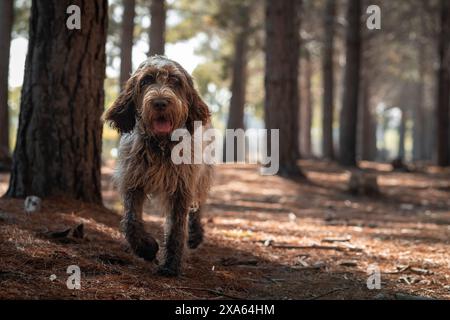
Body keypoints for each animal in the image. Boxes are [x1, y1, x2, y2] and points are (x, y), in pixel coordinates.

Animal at [103, 55, 213, 276]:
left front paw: (171, 265)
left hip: (202, 175)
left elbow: (176, 229)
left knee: (198, 205)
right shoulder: (132, 182)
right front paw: (146, 248)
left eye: (175, 81)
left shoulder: (181, 187)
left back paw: (195, 234)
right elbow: (131, 222)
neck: (161, 145)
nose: (160, 102)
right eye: (146, 80)